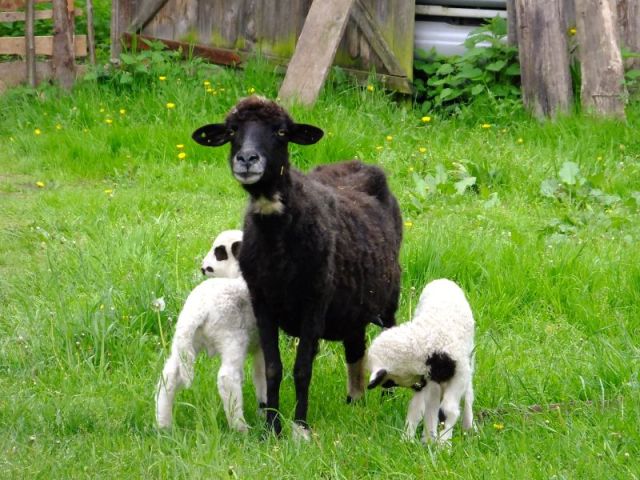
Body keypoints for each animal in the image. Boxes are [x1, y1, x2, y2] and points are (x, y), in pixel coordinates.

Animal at [155, 230, 266, 432]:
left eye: (219, 253)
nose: (203, 268)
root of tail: (198, 310)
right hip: (232, 338)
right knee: (227, 378)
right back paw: (240, 428)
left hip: (185, 342)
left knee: (169, 375)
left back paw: (163, 424)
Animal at [192, 96, 403, 439]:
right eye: (233, 130)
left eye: (280, 131)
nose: (246, 159)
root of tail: (356, 163)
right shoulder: (262, 303)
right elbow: (273, 369)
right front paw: (272, 428)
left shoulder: (314, 303)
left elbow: (302, 369)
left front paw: (300, 427)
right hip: (354, 303)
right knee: (355, 348)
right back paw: (354, 401)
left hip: (387, 297)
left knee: (391, 336)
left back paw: (386, 397)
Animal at [366, 278, 475, 444]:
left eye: (389, 380)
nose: (418, 385)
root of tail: (442, 280)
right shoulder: (430, 381)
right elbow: (425, 410)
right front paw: (426, 441)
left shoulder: (459, 374)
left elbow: (447, 410)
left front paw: (443, 445)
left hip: (469, 357)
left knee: (468, 392)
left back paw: (469, 427)